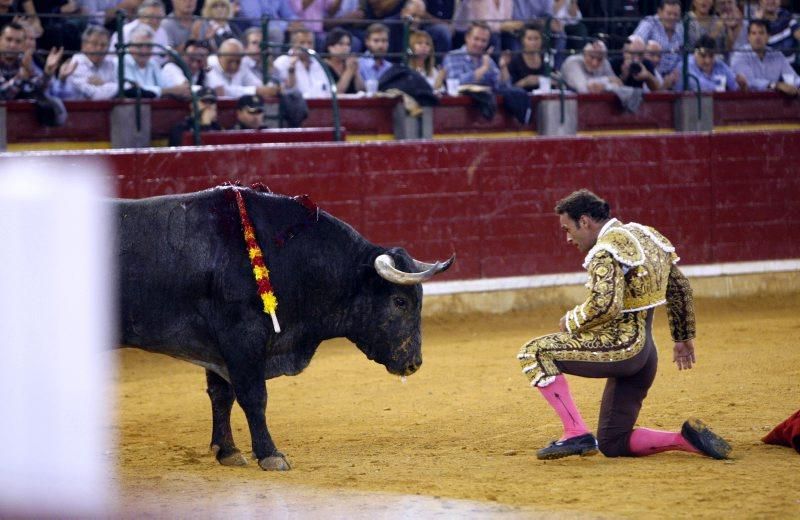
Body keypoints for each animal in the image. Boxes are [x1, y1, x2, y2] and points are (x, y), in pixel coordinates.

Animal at [115, 187, 454, 472]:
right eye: (400, 301)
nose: (414, 363)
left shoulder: (216, 348)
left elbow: (221, 394)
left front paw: (228, 451)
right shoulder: (241, 338)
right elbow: (253, 395)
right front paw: (270, 454)